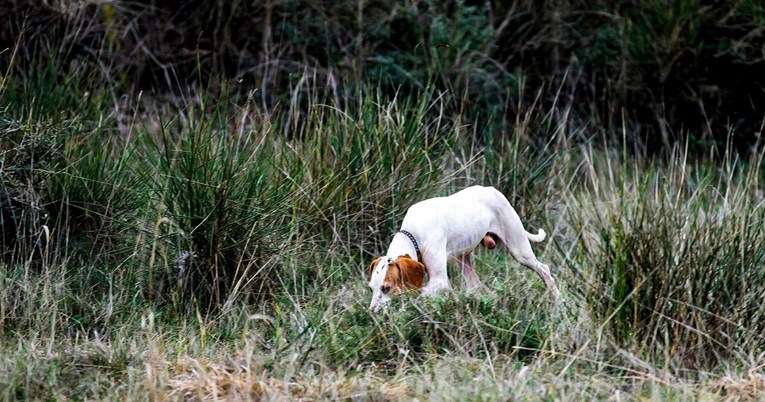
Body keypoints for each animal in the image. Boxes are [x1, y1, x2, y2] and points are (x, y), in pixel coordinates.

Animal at [368, 185, 560, 310]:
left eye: (386, 288)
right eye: (371, 288)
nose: (372, 312)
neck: (414, 232)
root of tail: (492, 190)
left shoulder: (439, 281)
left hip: (519, 250)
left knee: (544, 269)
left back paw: (558, 301)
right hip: (462, 258)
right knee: (475, 285)